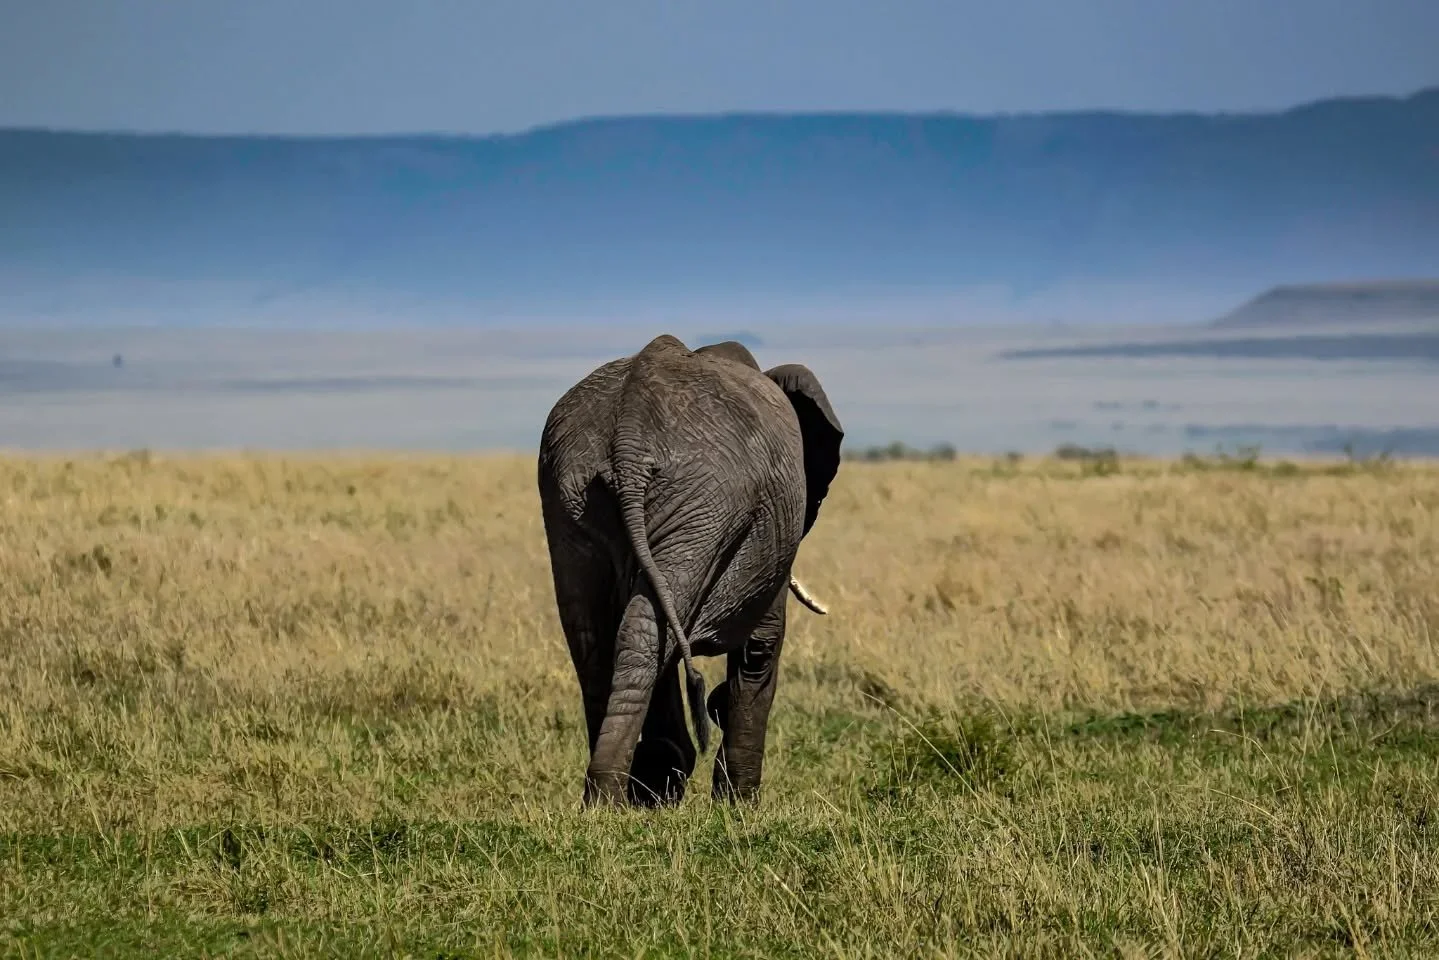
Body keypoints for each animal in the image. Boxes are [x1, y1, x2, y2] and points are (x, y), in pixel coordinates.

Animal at [537, 333, 843, 808]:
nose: (713, 706)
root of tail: (630, 433)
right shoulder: (773, 528)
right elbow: (761, 644)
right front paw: (738, 802)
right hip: (705, 500)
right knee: (645, 629)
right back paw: (617, 794)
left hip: (571, 490)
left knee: (599, 635)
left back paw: (613, 794)